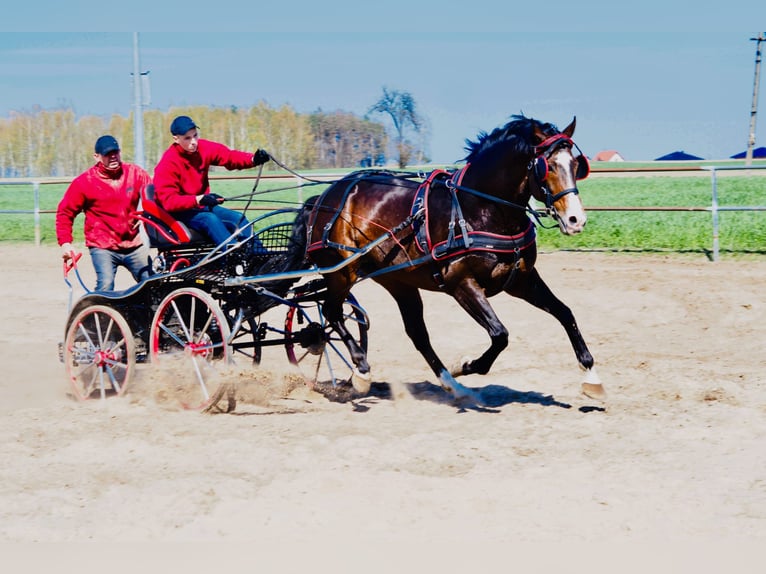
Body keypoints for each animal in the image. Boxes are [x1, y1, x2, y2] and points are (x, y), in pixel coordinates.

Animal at [300, 115, 608, 404]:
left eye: (576, 165)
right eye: (548, 166)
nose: (576, 219)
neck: (480, 208)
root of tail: (326, 196)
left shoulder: (521, 281)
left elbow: (565, 313)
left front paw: (592, 378)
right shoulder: (461, 283)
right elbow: (500, 334)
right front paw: (466, 364)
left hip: (398, 281)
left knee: (417, 333)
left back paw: (452, 385)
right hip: (342, 272)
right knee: (331, 312)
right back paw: (361, 370)